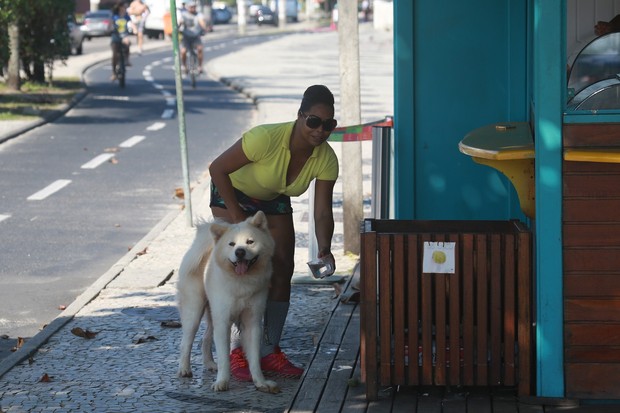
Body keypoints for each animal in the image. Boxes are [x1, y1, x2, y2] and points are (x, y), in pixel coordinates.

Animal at [176, 212, 280, 392]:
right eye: (231, 244)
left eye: (250, 242)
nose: (240, 252)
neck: (241, 282)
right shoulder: (223, 321)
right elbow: (224, 357)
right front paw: (222, 382)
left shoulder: (252, 321)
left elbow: (254, 358)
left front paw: (260, 382)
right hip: (194, 311)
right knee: (186, 342)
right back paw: (184, 369)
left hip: (212, 314)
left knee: (205, 338)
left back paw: (210, 364)